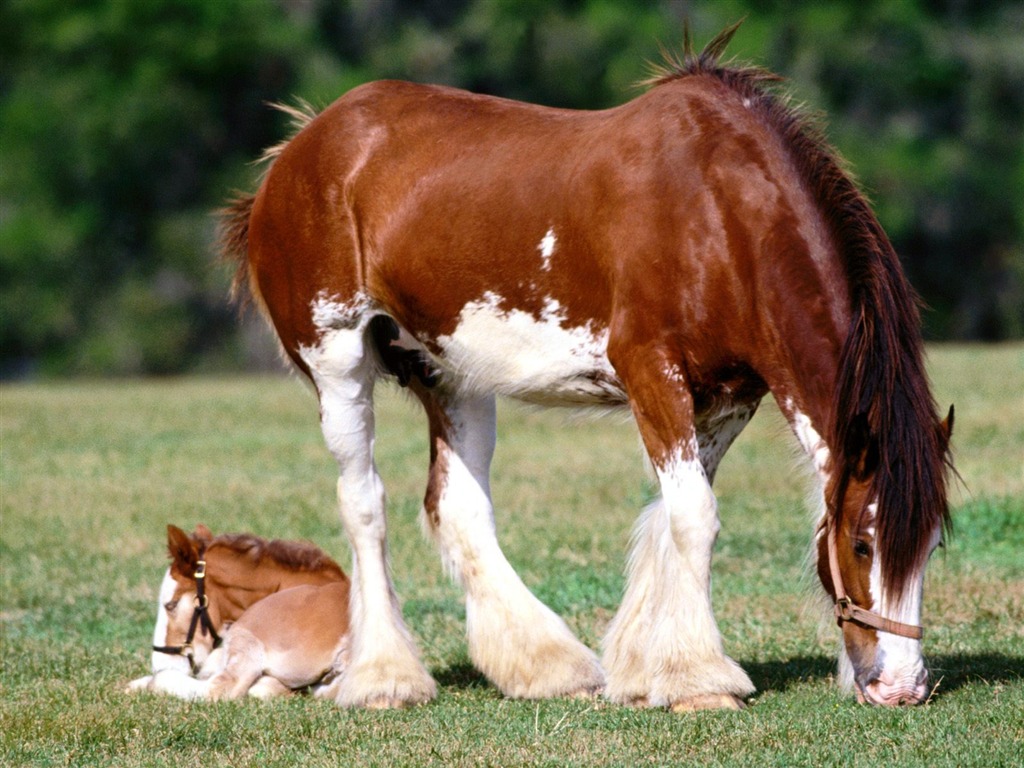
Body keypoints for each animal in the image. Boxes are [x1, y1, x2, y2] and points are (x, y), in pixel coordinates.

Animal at [216, 22, 950, 708]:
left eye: (933, 544)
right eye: (863, 543)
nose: (902, 686)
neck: (719, 211)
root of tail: (298, 150)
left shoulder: (729, 398)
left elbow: (671, 517)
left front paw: (646, 669)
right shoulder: (651, 370)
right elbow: (694, 517)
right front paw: (700, 680)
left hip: (452, 375)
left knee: (457, 506)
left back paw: (547, 666)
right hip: (337, 360)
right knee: (363, 502)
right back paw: (384, 678)